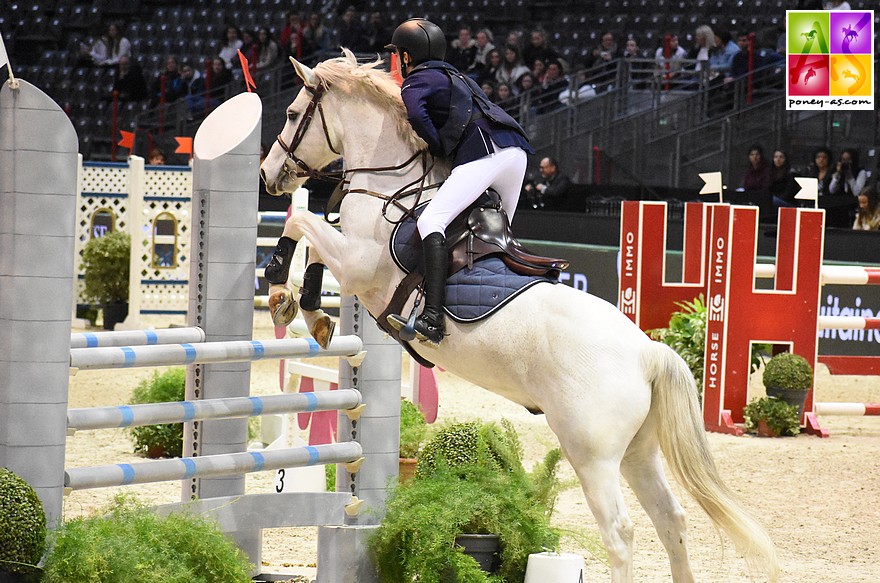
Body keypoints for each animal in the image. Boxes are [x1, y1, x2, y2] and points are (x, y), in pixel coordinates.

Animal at [260, 51, 776, 583]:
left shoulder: (359, 265)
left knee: (620, 532)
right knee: (670, 517)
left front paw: (282, 286)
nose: (267, 174)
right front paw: (311, 311)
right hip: (638, 450)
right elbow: (314, 234)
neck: (390, 187)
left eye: (292, 114)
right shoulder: (350, 257)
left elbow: (306, 224)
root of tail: (647, 352)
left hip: (592, 454)